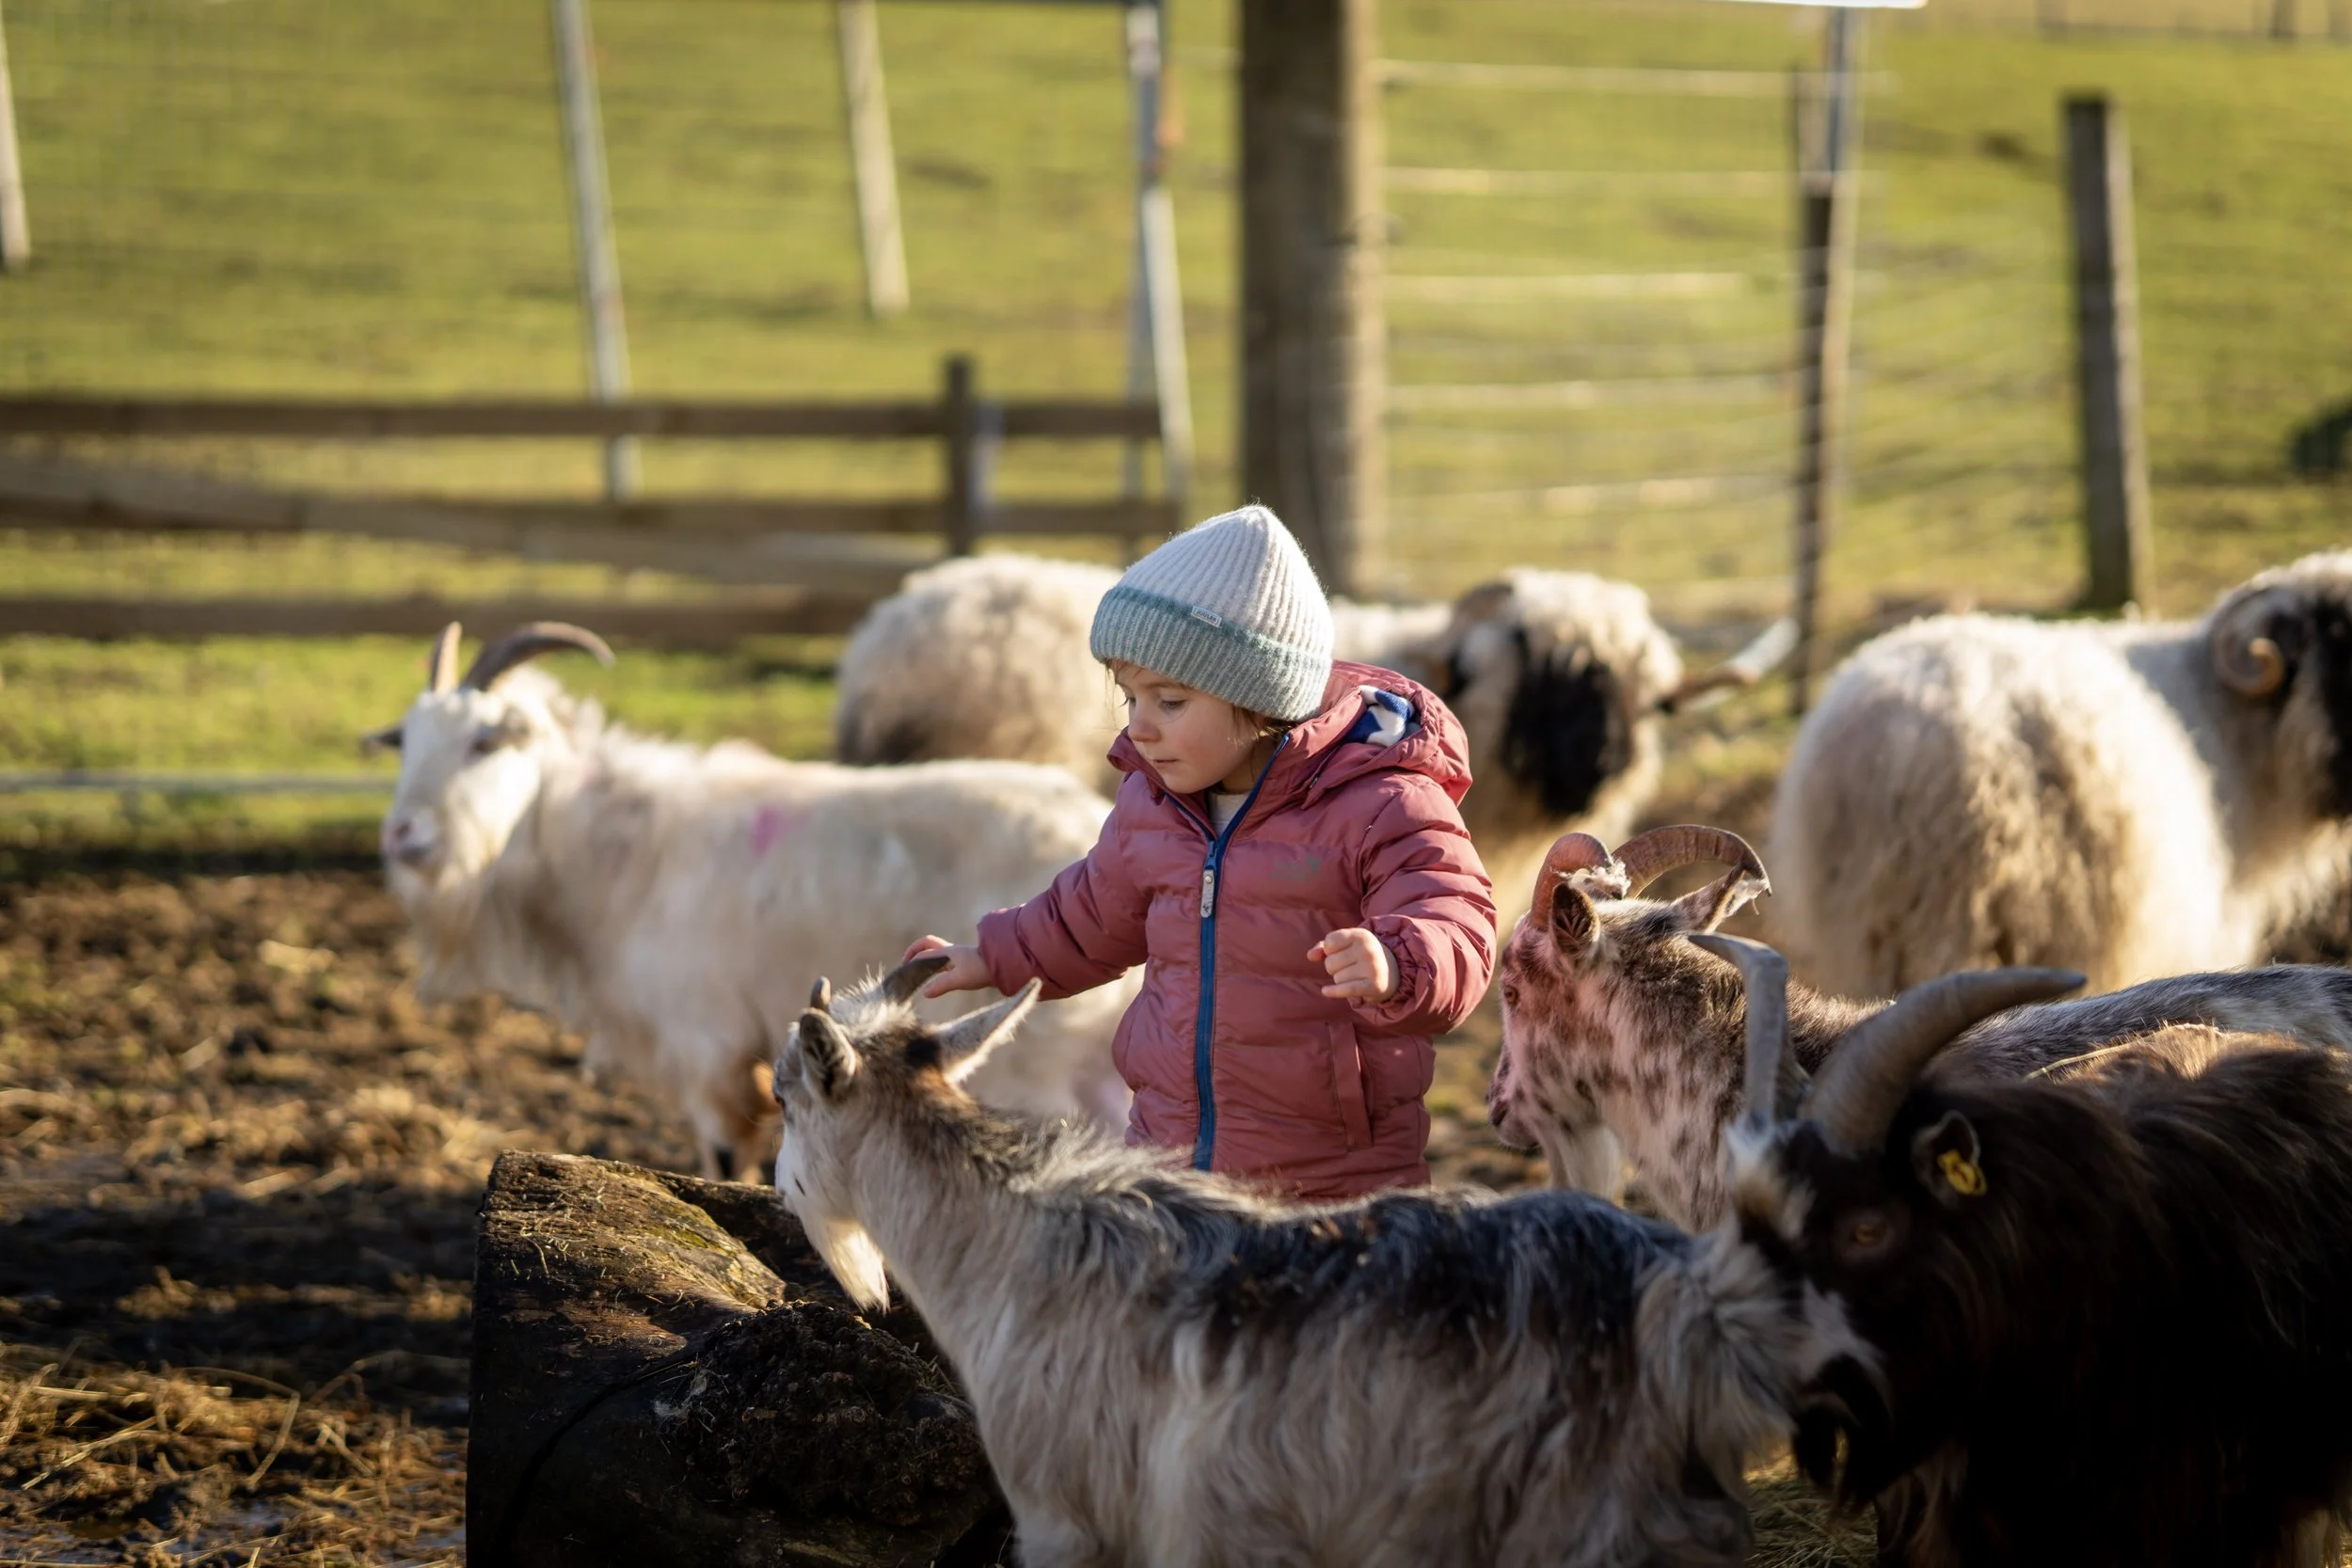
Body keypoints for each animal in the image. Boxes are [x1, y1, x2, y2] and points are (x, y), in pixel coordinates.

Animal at [369, 622, 1134, 1179]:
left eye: (483, 741)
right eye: (403, 742)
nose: (401, 833)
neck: (631, 853)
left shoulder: (706, 1039)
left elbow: (724, 1153)